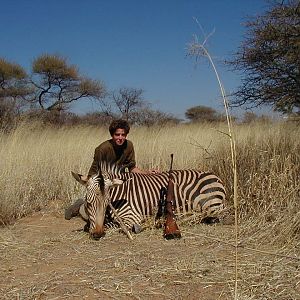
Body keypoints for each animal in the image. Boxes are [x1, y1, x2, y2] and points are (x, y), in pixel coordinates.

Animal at [72, 162, 225, 239]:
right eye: (88, 203)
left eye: (106, 203)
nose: (97, 234)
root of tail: (215, 176)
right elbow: (88, 225)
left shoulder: (132, 217)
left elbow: (113, 226)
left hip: (209, 205)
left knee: (203, 216)